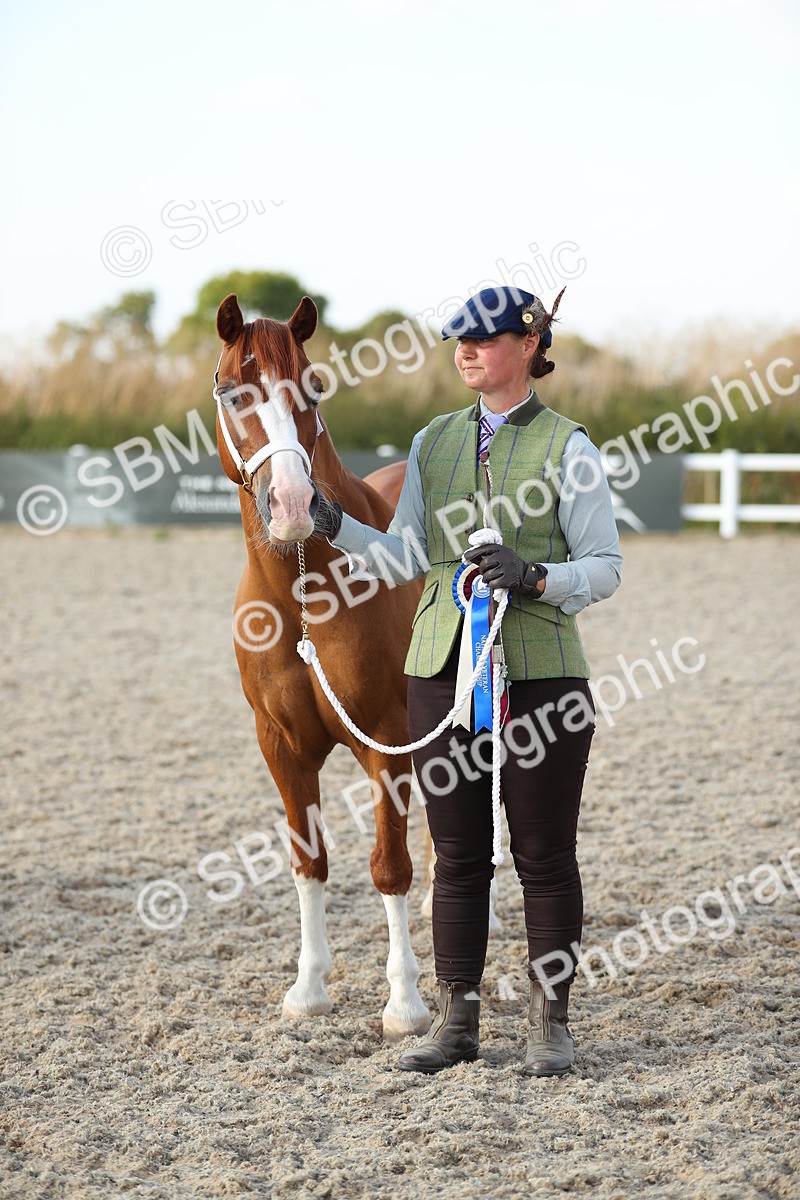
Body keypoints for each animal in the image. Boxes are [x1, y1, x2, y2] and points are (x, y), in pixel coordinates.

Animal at [213, 292, 430, 1039]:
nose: (293, 506)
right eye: (233, 390)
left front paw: (406, 1003)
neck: (307, 591)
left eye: (314, 388)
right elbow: (309, 861)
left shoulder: (387, 738)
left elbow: (389, 866)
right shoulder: (281, 746)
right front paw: (308, 989)